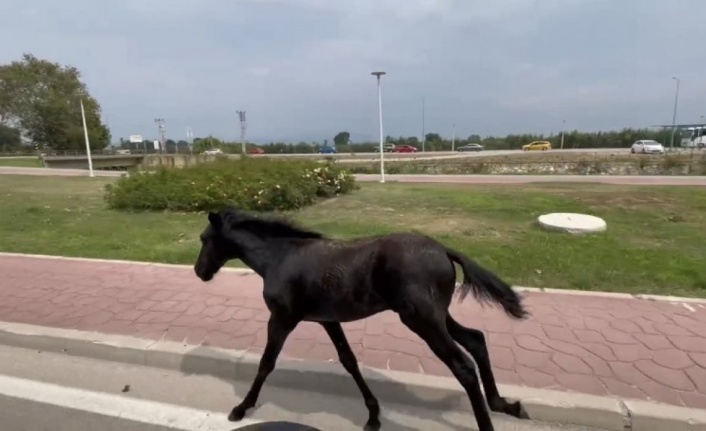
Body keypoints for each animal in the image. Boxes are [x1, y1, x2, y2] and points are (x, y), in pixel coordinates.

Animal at [192, 208, 528, 430]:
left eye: (204, 239)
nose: (199, 271)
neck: (280, 258)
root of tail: (444, 250)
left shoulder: (282, 319)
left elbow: (266, 363)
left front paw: (240, 408)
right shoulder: (328, 320)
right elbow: (349, 361)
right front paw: (373, 416)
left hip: (421, 320)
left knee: (464, 367)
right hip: (437, 316)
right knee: (476, 339)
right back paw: (505, 404)